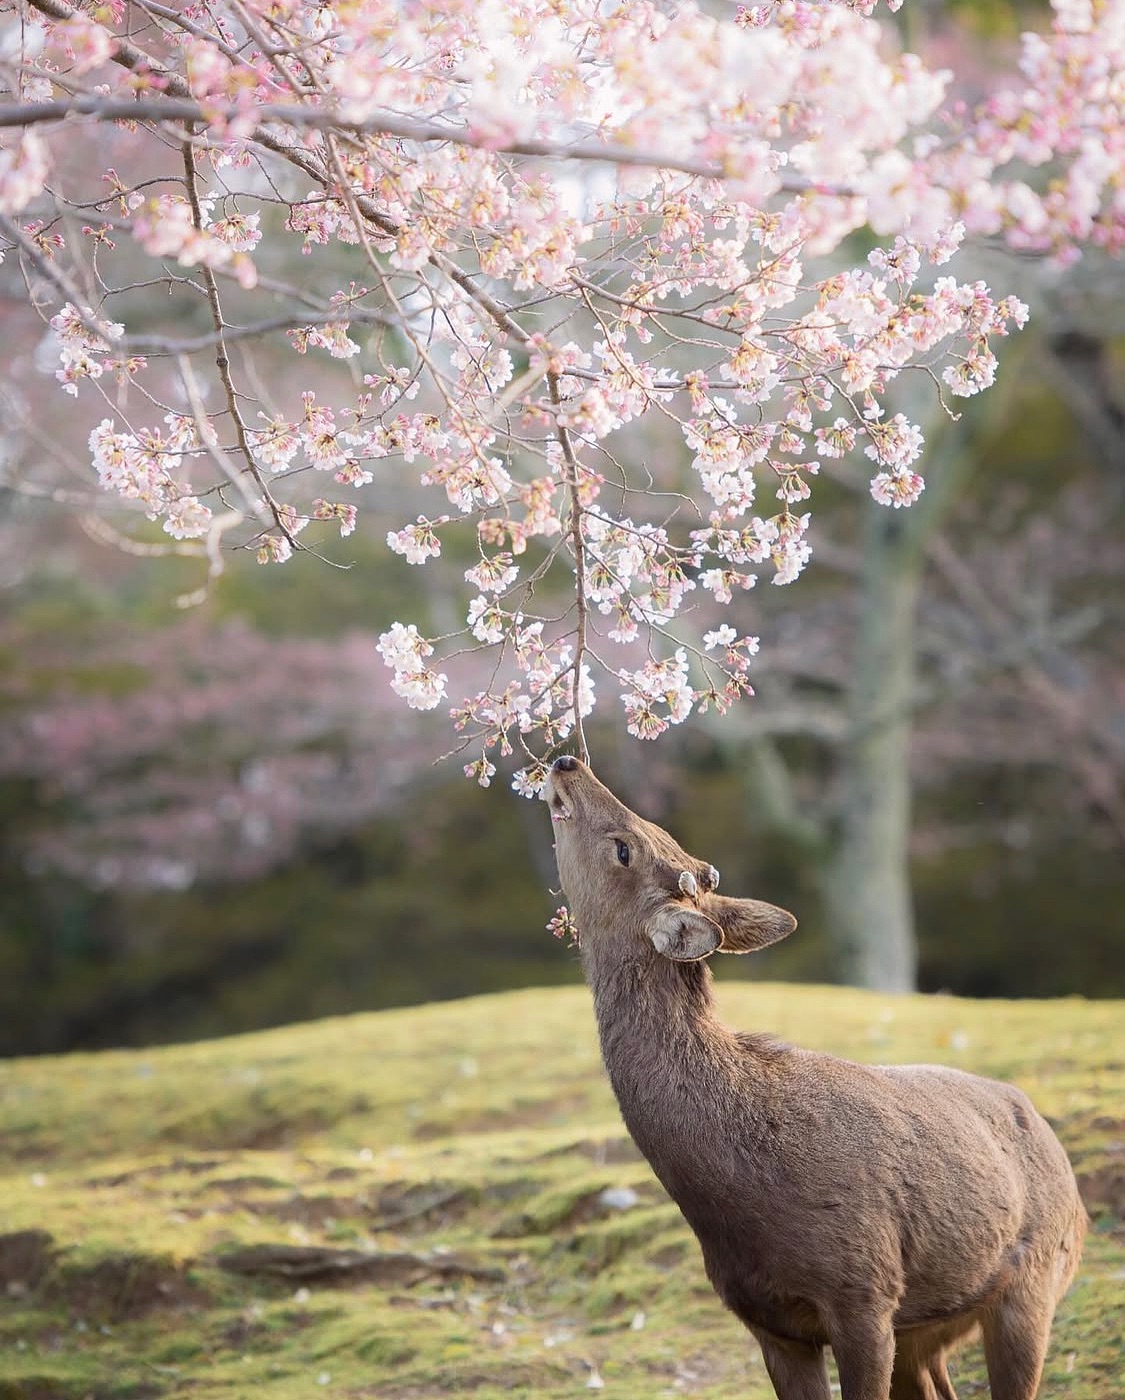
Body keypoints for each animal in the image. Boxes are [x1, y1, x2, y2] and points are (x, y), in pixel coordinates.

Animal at [543, 756, 1086, 1400]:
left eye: (624, 847)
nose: (566, 762)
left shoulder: (865, 1291)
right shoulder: (767, 1319)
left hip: (1037, 1278)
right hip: (927, 1326)